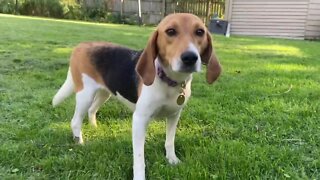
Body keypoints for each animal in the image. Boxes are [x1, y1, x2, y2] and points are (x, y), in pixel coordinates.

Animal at [53, 13, 222, 179]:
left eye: (200, 32)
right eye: (171, 31)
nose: (190, 57)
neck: (170, 81)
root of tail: (81, 46)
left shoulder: (174, 115)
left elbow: (170, 141)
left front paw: (172, 159)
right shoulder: (140, 120)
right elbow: (139, 158)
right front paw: (140, 176)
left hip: (105, 92)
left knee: (92, 110)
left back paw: (94, 127)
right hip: (85, 95)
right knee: (75, 121)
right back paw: (80, 142)